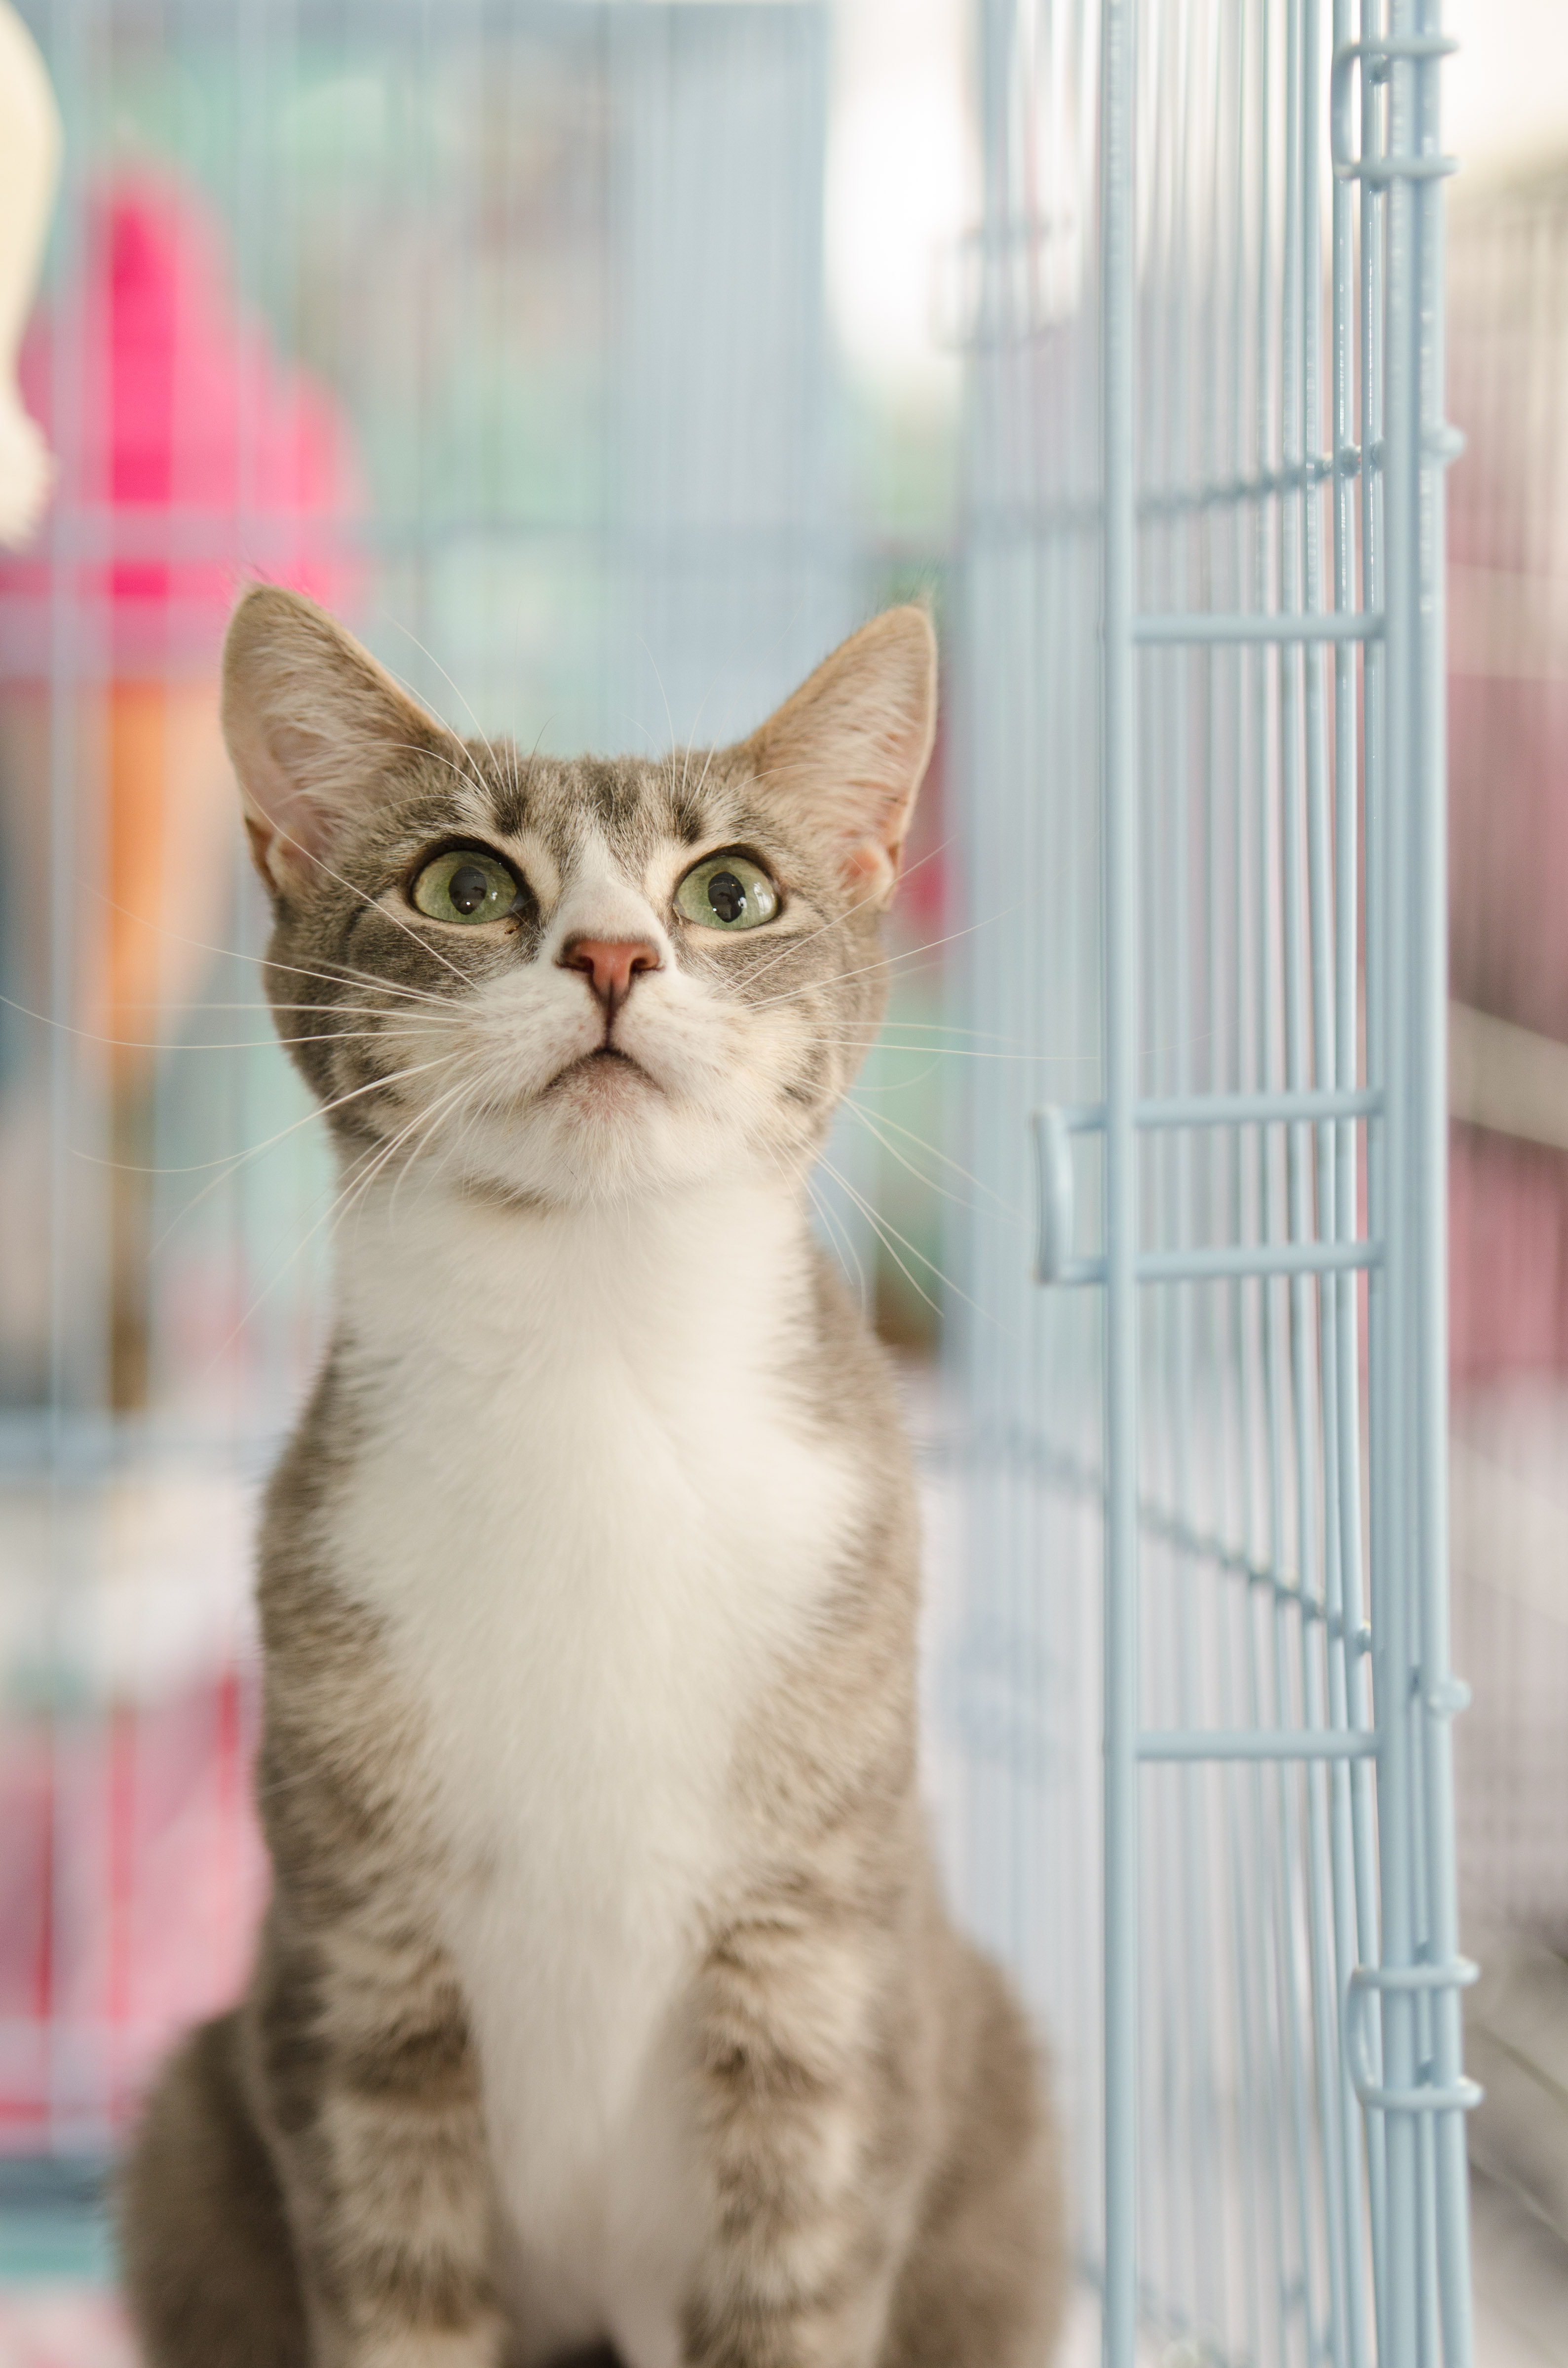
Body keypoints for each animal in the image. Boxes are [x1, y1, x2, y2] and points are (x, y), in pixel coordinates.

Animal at [117, 585, 1068, 2368]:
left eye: (732, 890)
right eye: (466, 882)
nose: (616, 953)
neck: (597, 1377)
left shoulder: (824, 1975)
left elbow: (800, 2271)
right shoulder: (355, 1975)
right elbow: (397, 2284)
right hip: (183, 2129)